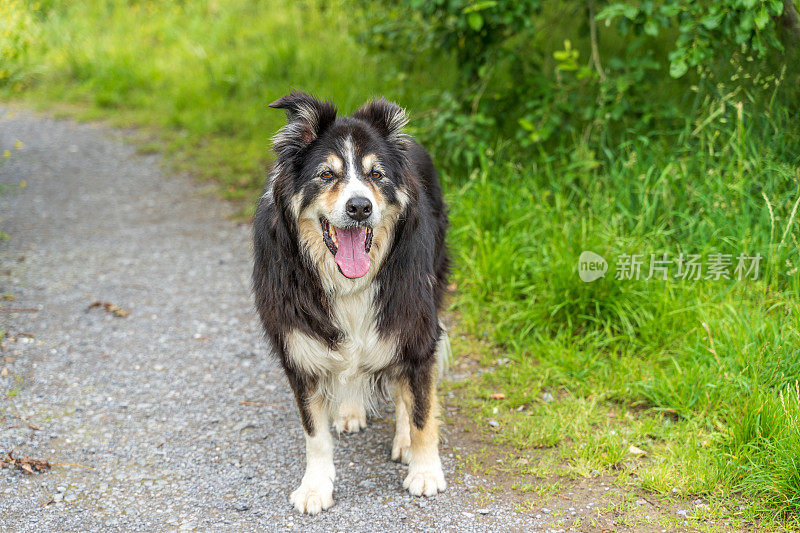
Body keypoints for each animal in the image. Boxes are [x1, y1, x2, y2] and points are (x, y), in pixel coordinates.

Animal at [250, 90, 450, 512]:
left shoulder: (416, 327)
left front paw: (425, 472)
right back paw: (349, 411)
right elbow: (313, 430)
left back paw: (403, 441)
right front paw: (315, 487)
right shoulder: (300, 348)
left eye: (376, 175)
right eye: (326, 174)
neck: (348, 284)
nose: (360, 207)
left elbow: (422, 410)